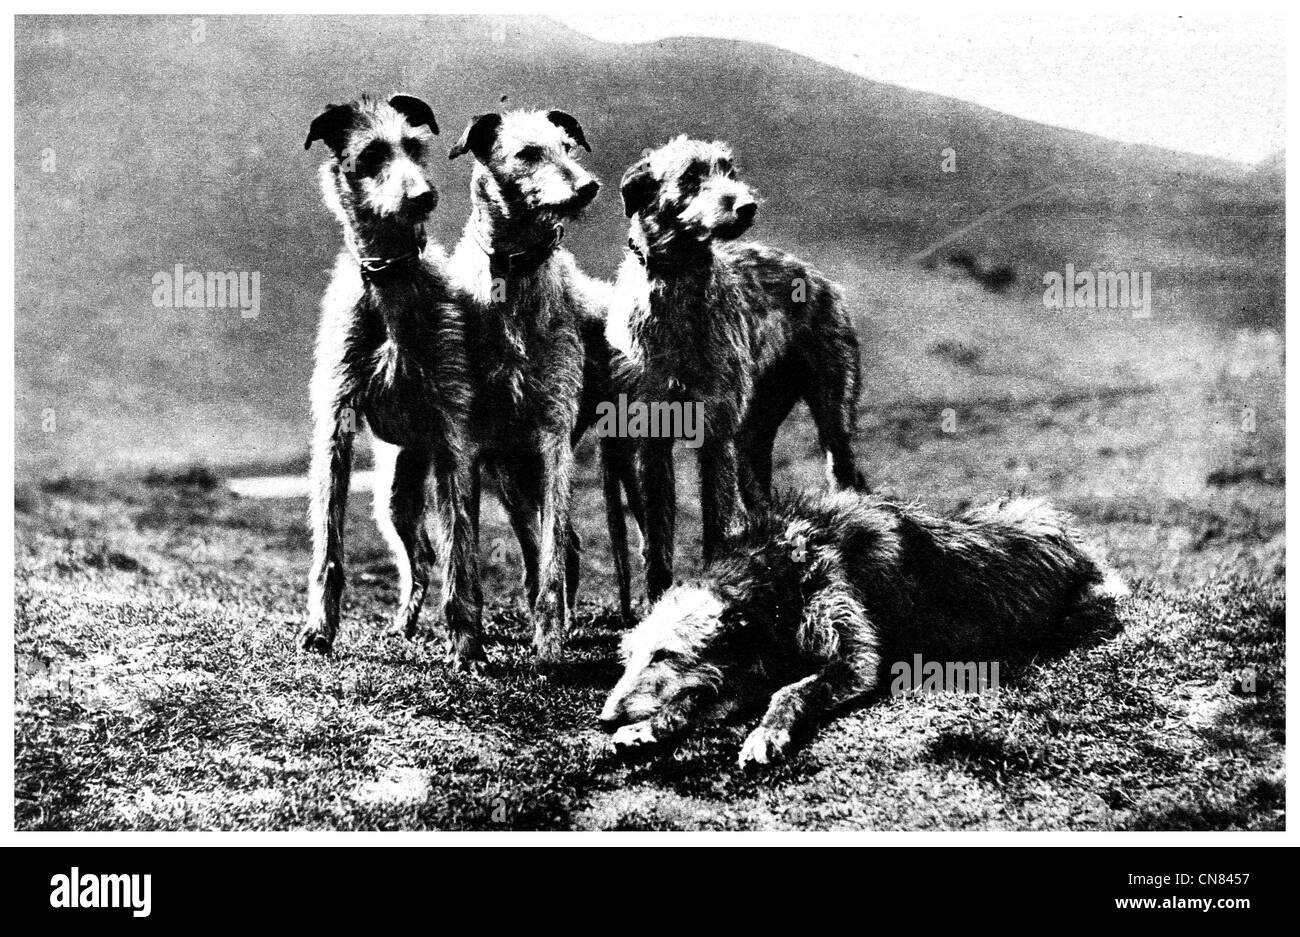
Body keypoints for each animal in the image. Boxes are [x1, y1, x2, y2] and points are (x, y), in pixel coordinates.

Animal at [299, 94, 483, 665]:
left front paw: (466, 639)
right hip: (394, 491)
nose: (423, 197)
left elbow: (460, 547)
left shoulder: (452, 432)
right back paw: (404, 623)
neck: (390, 282)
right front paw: (320, 628)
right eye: (371, 154)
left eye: (415, 147)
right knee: (417, 553)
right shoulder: (335, 422)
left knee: (440, 549)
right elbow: (329, 543)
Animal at [598, 488, 1128, 769]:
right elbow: (698, 698)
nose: (604, 717)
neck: (782, 572)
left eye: (666, 654)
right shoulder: (762, 660)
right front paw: (644, 728)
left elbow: (789, 691)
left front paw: (766, 733)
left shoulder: (853, 661)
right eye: (631, 656)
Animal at [605, 135, 863, 603]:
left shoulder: (715, 437)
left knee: (847, 480)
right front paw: (657, 598)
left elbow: (715, 528)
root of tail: (817, 277)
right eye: (691, 175)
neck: (677, 290)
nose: (747, 206)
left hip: (832, 424)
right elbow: (657, 536)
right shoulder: (652, 441)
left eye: (730, 170)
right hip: (751, 442)